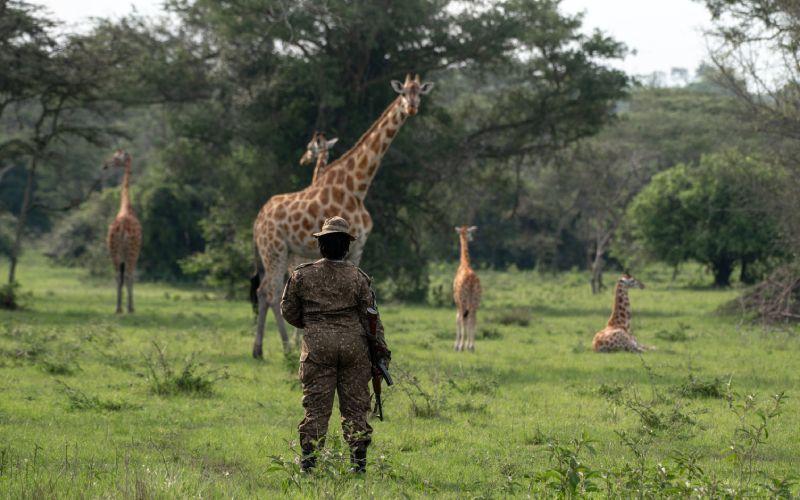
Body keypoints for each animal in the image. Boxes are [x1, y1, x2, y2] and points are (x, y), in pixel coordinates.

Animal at [250, 74, 434, 358]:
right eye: (403, 92)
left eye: (419, 93)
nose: (412, 107)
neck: (357, 187)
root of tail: (258, 220)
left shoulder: (358, 247)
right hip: (274, 249)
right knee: (270, 292)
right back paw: (283, 348)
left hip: (278, 252)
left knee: (264, 292)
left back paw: (263, 350)